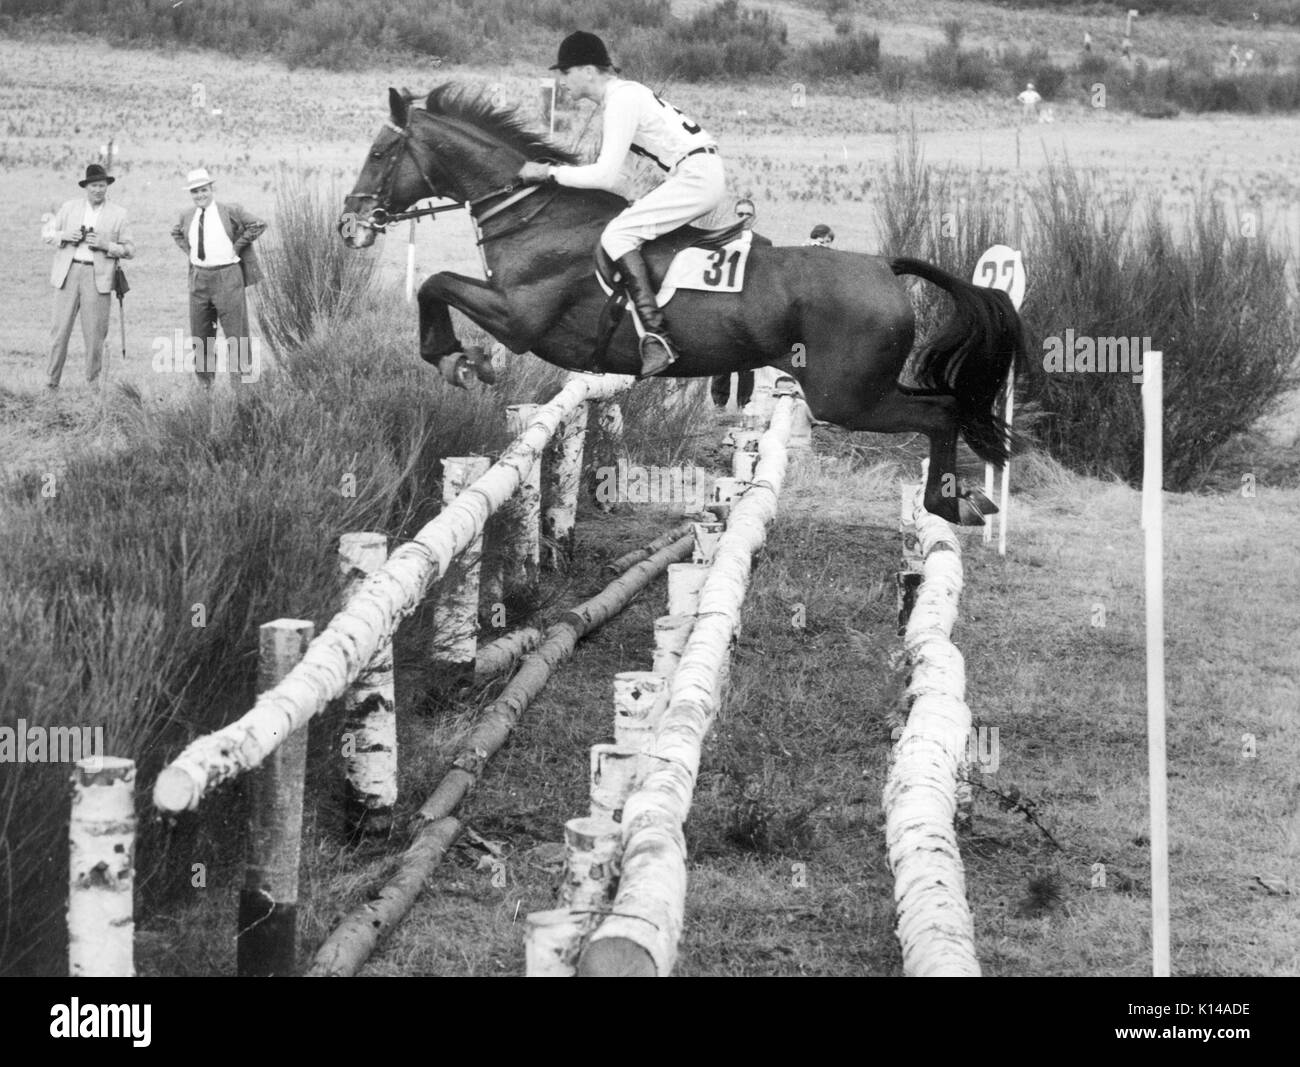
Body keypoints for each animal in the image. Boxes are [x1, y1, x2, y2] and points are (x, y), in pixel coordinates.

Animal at [340, 87, 1029, 525]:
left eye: (378, 153)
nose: (351, 224)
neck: (531, 211)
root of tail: (883, 265)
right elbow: (436, 284)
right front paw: (458, 359)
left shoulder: (519, 318)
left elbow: (435, 283)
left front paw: (457, 359)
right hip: (864, 388)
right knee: (944, 407)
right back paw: (962, 501)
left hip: (846, 396)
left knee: (940, 412)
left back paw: (949, 503)